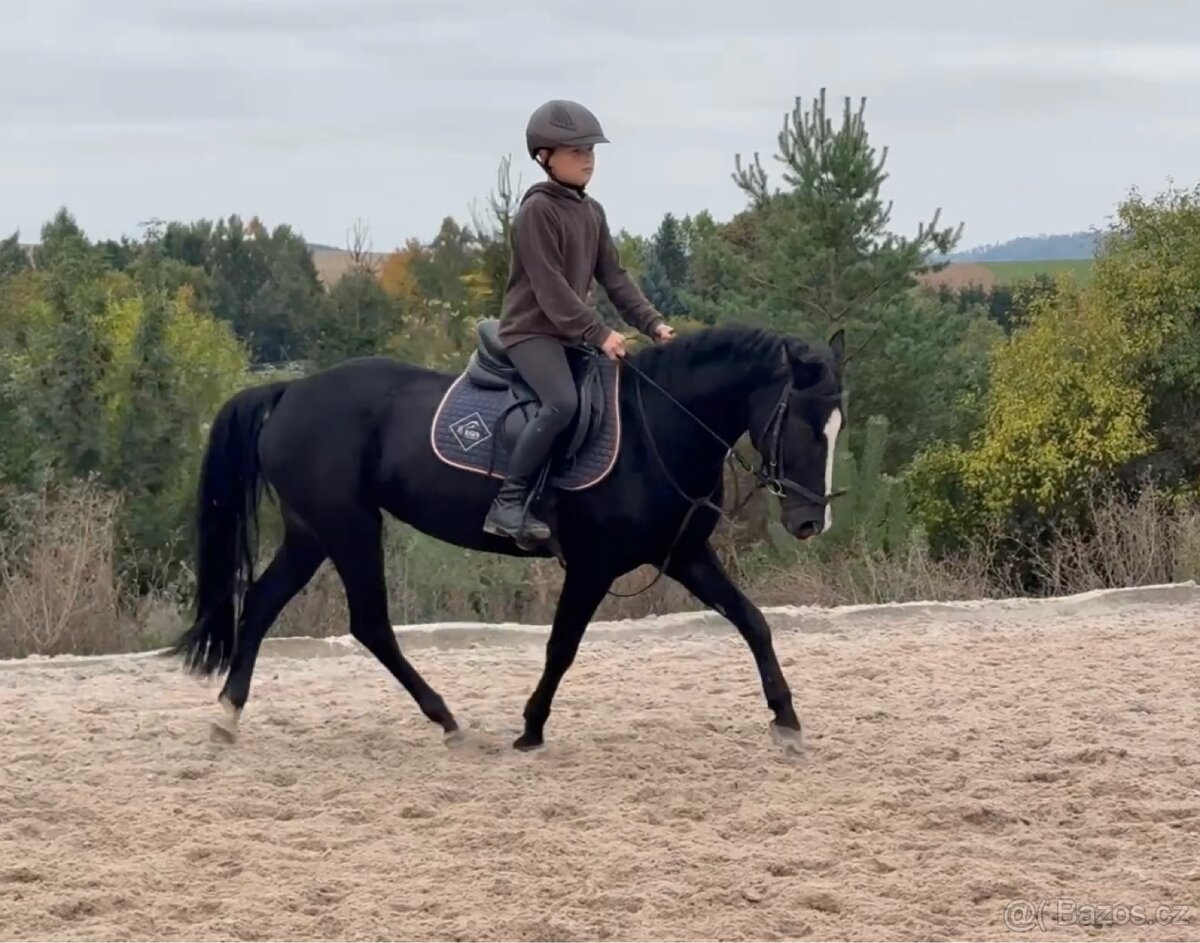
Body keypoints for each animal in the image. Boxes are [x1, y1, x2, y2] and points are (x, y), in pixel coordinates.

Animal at [166, 320, 847, 752]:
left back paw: (227, 717)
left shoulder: (683, 554)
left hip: (312, 532)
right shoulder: (593, 566)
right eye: (803, 424)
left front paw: (788, 721)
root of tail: (291, 391)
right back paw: (447, 721)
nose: (809, 523)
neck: (658, 426)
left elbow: (753, 621)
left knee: (261, 604)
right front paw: (531, 729)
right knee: (370, 625)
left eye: (837, 425)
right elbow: (562, 648)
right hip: (350, 527)